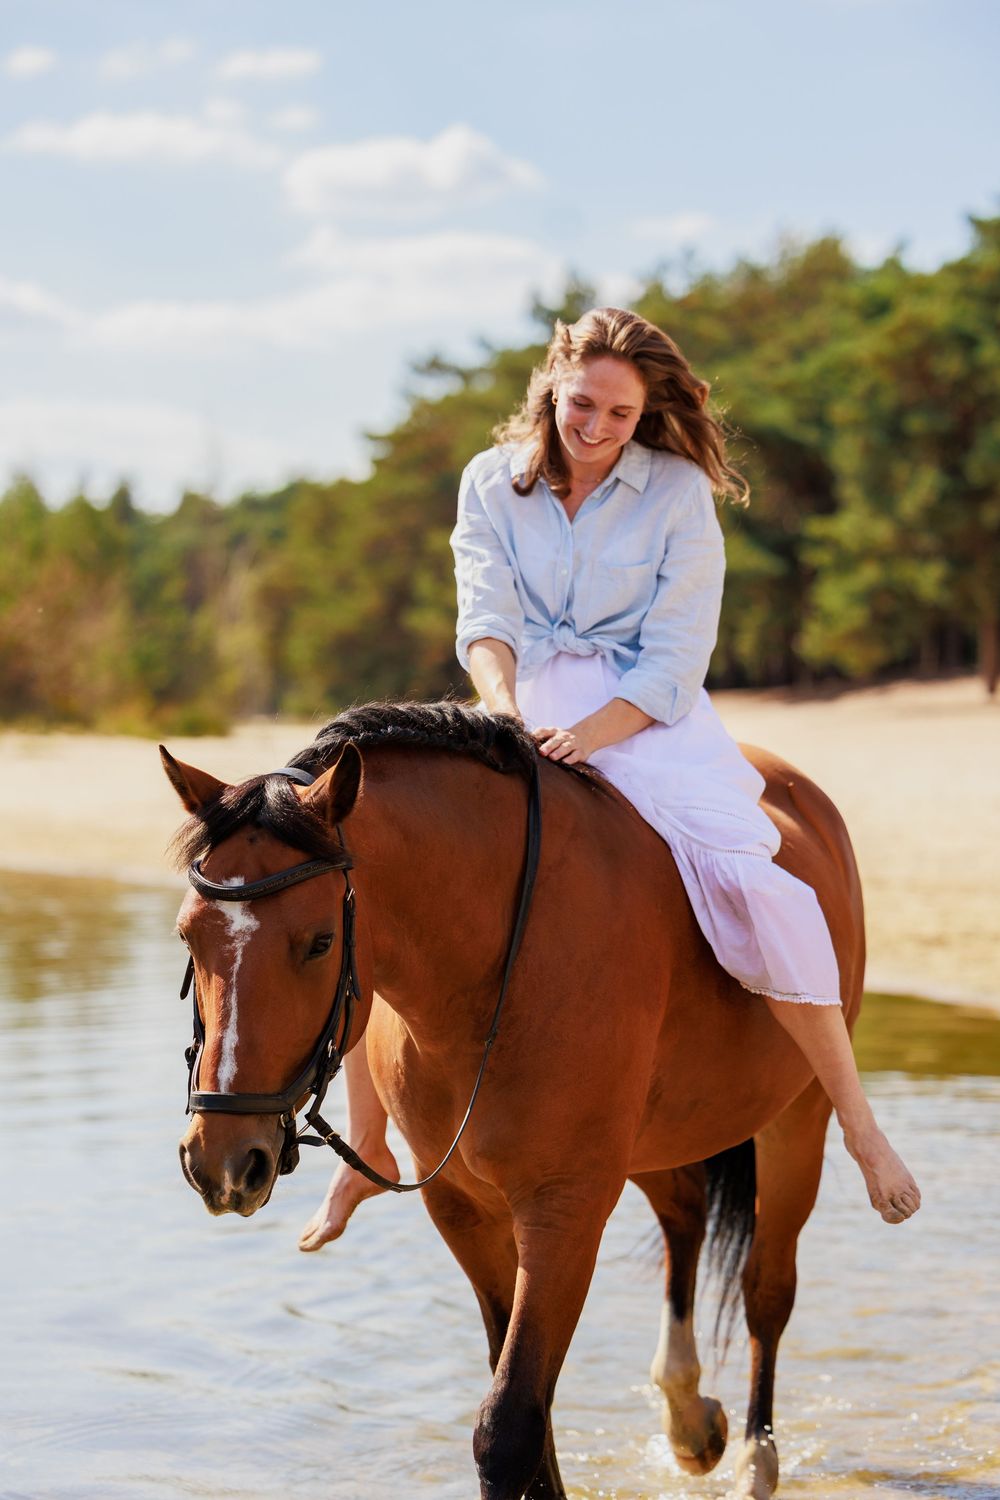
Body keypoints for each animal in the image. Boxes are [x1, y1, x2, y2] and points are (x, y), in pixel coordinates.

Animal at [162, 700, 865, 1500]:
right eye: (188, 936)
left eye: (317, 943)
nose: (221, 1161)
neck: (490, 974)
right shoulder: (465, 1209)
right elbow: (530, 1410)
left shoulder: (565, 1208)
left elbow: (510, 1426)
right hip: (655, 1143)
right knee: (685, 1217)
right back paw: (689, 1418)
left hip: (797, 1118)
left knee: (766, 1288)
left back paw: (755, 1455)